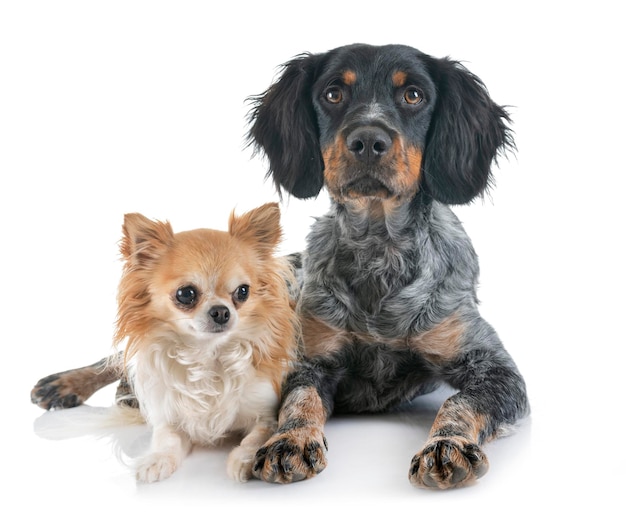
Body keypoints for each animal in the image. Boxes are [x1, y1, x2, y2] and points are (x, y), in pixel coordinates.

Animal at [30, 44, 528, 490]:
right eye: (332, 94)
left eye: (414, 95)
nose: (368, 141)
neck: (378, 254)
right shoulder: (308, 360)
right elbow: (300, 401)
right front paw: (290, 441)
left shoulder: (495, 369)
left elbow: (458, 403)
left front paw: (446, 445)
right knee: (120, 357)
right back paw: (65, 383)